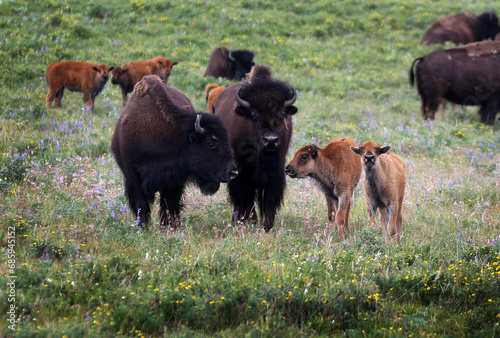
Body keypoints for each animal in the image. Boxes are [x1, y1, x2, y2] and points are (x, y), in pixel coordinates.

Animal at [112, 74, 237, 227]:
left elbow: (170, 204)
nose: (233, 171)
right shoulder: (134, 178)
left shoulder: (173, 181)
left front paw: (169, 226)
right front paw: (143, 227)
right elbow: (141, 205)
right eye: (211, 143)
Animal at [214, 64, 296, 231]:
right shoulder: (241, 171)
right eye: (253, 114)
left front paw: (268, 226)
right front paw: (249, 221)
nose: (270, 140)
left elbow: (270, 198)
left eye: (282, 113)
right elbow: (246, 196)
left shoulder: (276, 171)